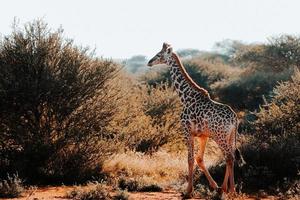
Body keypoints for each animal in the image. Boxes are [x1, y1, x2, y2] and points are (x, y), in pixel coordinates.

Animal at [148, 42, 244, 197]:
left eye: (159, 54)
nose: (149, 62)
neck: (186, 97)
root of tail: (235, 119)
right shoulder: (202, 135)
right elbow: (199, 159)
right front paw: (214, 186)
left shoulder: (187, 131)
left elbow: (190, 159)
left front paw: (188, 191)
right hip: (230, 136)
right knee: (231, 157)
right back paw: (227, 189)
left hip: (220, 136)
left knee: (229, 156)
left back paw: (228, 190)